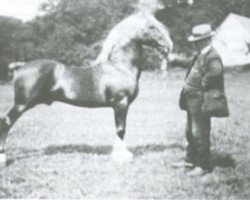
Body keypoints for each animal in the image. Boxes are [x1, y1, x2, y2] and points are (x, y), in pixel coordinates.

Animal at [0, 0, 172, 165]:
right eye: (151, 27)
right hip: (22, 104)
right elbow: (121, 129)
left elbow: (120, 129)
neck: (120, 66)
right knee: (6, 122)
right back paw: (3, 158)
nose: (169, 47)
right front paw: (121, 157)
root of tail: (21, 66)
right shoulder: (121, 103)